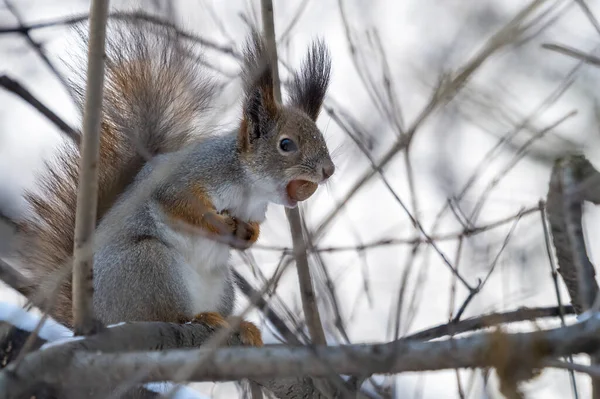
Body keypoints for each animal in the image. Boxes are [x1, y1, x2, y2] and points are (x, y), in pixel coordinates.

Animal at [9, 16, 336, 346]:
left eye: (321, 140)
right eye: (286, 144)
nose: (329, 170)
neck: (250, 188)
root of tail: (101, 318)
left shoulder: (253, 209)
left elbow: (251, 227)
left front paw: (248, 235)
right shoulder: (189, 175)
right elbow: (179, 204)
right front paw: (218, 224)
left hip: (221, 285)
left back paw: (238, 325)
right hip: (151, 266)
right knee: (167, 314)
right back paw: (199, 317)